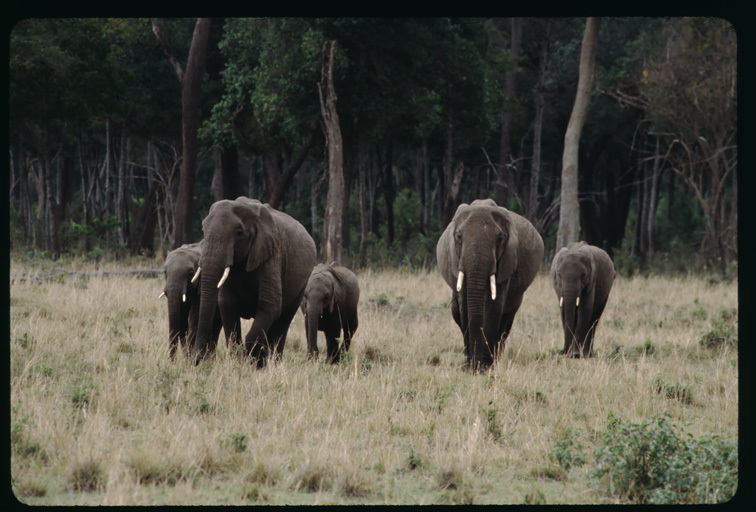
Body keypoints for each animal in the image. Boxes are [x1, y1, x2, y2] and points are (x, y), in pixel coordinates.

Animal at [192, 197, 318, 368]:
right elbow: (227, 304)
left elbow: (270, 304)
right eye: (203, 229)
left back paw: (272, 365)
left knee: (282, 323)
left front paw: (251, 362)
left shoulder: (272, 255)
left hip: (301, 286)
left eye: (239, 233)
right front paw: (238, 362)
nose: (195, 360)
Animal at [438, 198, 544, 370]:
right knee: (456, 312)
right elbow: (465, 307)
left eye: (500, 238)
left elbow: (494, 306)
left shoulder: (506, 262)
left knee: (506, 319)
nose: (475, 365)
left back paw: (495, 359)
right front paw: (471, 367)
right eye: (459, 236)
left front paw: (484, 367)